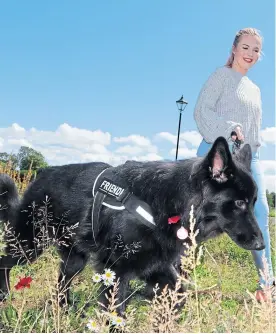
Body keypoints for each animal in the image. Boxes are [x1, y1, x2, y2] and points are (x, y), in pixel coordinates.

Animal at [0, 136, 266, 314]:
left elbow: (178, 296)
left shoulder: (156, 265)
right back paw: (4, 296)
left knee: (62, 281)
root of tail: (42, 173)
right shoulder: (116, 270)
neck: (170, 203)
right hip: (30, 245)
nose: (262, 245)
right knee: (4, 262)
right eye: (240, 203)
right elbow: (116, 311)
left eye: (253, 202)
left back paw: (63, 309)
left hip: (75, 258)